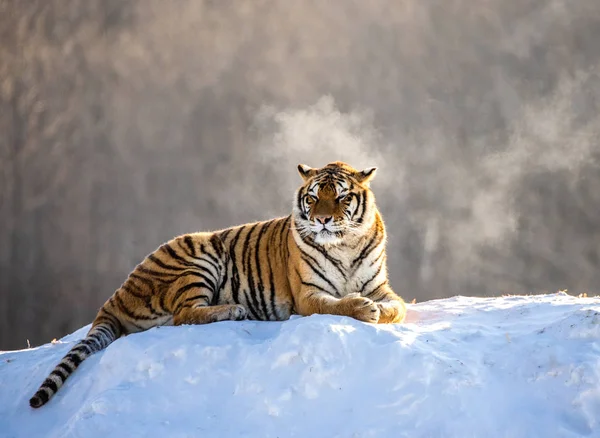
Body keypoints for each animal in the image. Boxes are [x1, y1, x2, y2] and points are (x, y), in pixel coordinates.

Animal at [27, 160, 404, 408]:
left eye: (341, 197)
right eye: (312, 198)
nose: (322, 220)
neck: (345, 244)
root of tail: (115, 297)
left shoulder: (380, 285)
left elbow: (397, 306)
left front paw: (381, 309)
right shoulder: (308, 295)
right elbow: (338, 305)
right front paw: (364, 309)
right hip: (200, 254)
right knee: (183, 314)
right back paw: (234, 310)